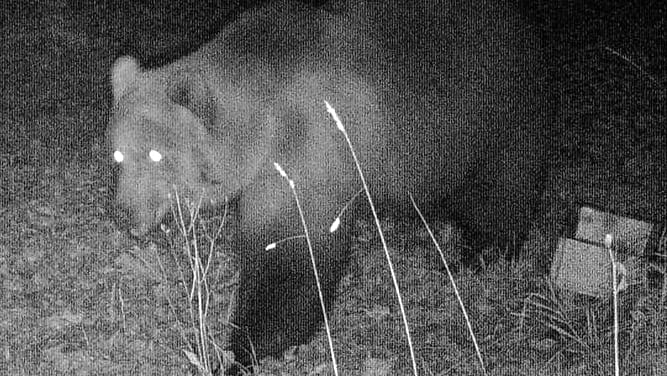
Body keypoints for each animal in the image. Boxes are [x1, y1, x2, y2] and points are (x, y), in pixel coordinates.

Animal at [108, 0, 548, 372]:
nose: (124, 214)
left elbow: (293, 256)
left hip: (494, 112)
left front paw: (245, 349)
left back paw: (480, 252)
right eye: (117, 155)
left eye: (155, 155)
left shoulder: (312, 150)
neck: (263, 124)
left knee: (503, 186)